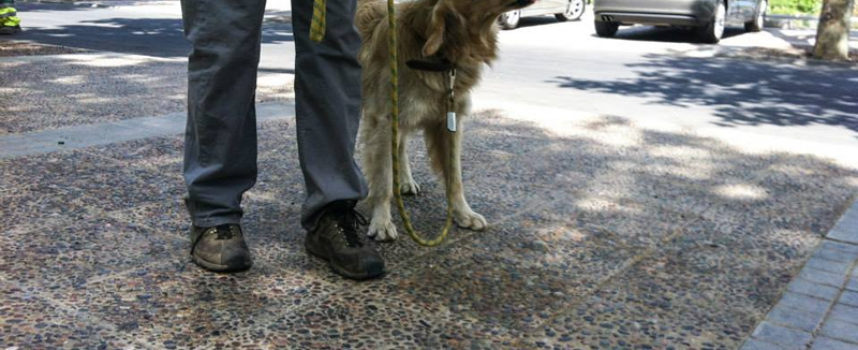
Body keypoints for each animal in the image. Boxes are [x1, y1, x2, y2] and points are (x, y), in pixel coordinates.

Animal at [352, 0, 532, 241]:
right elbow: (383, 179)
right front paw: (381, 221)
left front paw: (464, 214)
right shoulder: (384, 122)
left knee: (401, 147)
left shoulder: (448, 124)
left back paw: (405, 180)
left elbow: (455, 178)